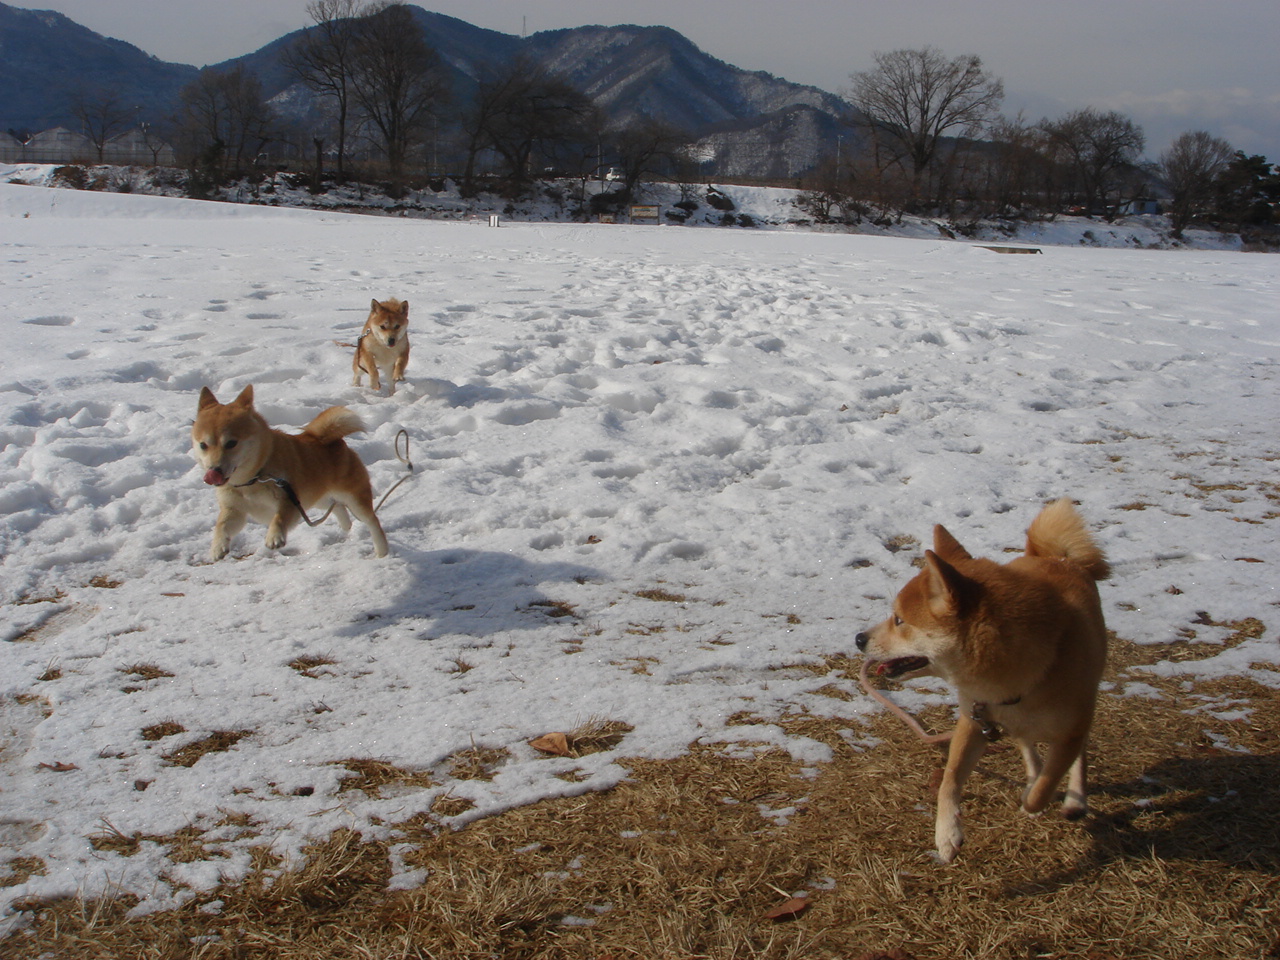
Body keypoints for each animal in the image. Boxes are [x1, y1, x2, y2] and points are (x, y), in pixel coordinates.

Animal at [191, 385, 389, 560]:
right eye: (203, 445)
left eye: (231, 443)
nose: (213, 471)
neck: (253, 478)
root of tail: (328, 440)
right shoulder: (234, 509)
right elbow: (221, 526)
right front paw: (217, 547)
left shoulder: (289, 498)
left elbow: (280, 517)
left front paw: (274, 537)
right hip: (314, 498)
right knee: (337, 506)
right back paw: (346, 525)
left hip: (352, 499)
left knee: (372, 521)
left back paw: (382, 550)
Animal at [855, 499, 1109, 863]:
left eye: (899, 620)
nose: (859, 639)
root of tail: (1054, 557)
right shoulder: (973, 719)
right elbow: (949, 779)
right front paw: (947, 833)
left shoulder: (1070, 732)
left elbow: (1046, 787)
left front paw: (1035, 800)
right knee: (1025, 742)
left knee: (1071, 753)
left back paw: (1074, 798)